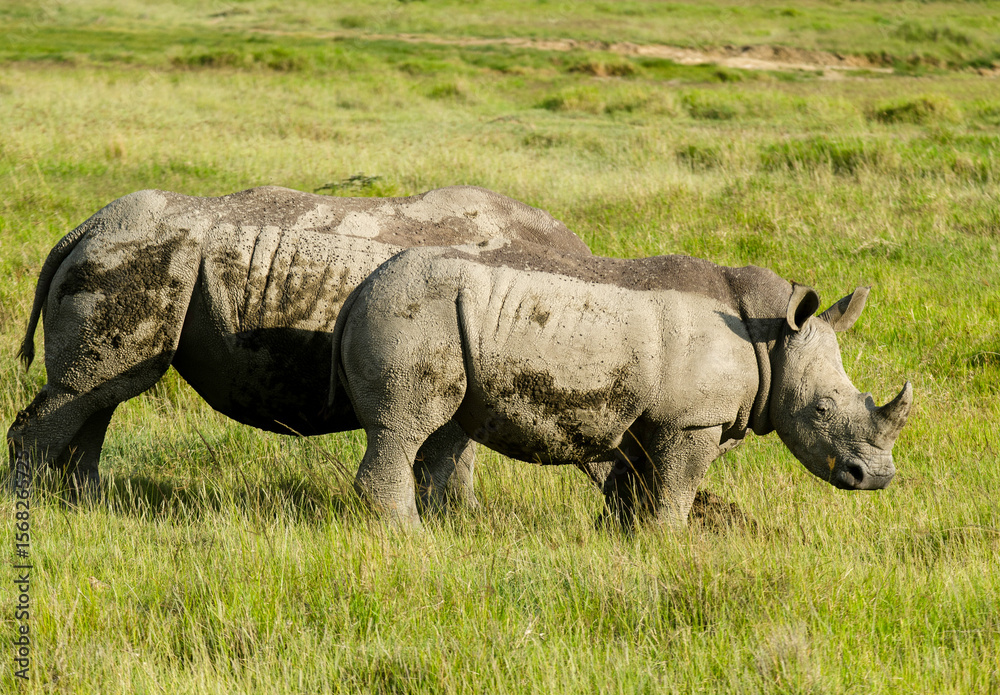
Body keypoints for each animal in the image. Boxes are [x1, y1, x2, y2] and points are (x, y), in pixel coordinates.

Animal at [7, 185, 591, 504]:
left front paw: (461, 521)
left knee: (97, 392)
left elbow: (452, 455)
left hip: (125, 253)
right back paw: (26, 507)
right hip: (134, 255)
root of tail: (82, 228)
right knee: (92, 388)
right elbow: (451, 453)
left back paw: (87, 503)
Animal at [331, 241, 913, 529]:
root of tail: (360, 287)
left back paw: (453, 531)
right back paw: (406, 536)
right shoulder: (691, 420)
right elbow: (677, 489)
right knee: (406, 425)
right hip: (413, 313)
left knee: (446, 429)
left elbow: (638, 486)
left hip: (436, 315)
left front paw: (623, 538)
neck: (771, 340)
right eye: (822, 410)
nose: (877, 478)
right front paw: (667, 542)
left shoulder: (653, 417)